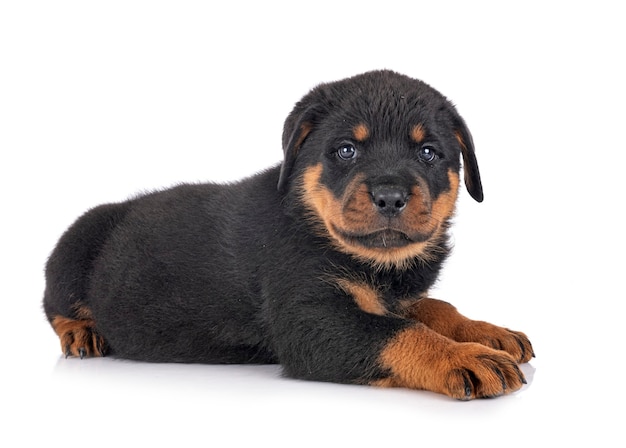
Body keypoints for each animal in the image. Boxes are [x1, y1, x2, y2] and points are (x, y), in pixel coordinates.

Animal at [44, 70, 532, 400]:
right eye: (346, 150)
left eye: (429, 153)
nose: (390, 196)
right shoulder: (310, 319)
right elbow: (399, 332)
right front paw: (465, 356)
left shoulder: (398, 296)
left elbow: (434, 308)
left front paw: (487, 332)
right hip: (73, 247)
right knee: (55, 305)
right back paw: (82, 333)